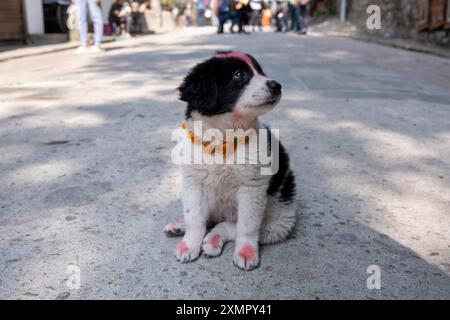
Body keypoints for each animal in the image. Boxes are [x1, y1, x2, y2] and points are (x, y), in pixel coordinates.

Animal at [164, 50, 296, 270]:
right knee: (208, 220)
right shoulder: (193, 181)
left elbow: (247, 225)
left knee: (228, 226)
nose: (276, 85)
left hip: (279, 220)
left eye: (260, 71)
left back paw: (213, 240)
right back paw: (180, 226)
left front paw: (246, 252)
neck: (222, 141)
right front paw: (189, 244)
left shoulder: (252, 187)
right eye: (239, 75)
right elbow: (194, 217)